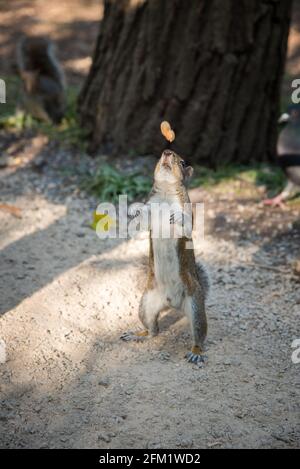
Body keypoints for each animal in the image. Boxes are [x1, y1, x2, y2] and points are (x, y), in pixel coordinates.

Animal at [120, 148, 210, 364]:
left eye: (183, 162)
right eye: (159, 155)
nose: (167, 151)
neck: (166, 193)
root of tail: (173, 303)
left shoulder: (186, 209)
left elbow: (187, 227)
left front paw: (177, 218)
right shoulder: (150, 207)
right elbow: (142, 223)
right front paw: (135, 209)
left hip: (195, 305)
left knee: (199, 333)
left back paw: (196, 352)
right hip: (146, 304)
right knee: (154, 330)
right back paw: (138, 334)